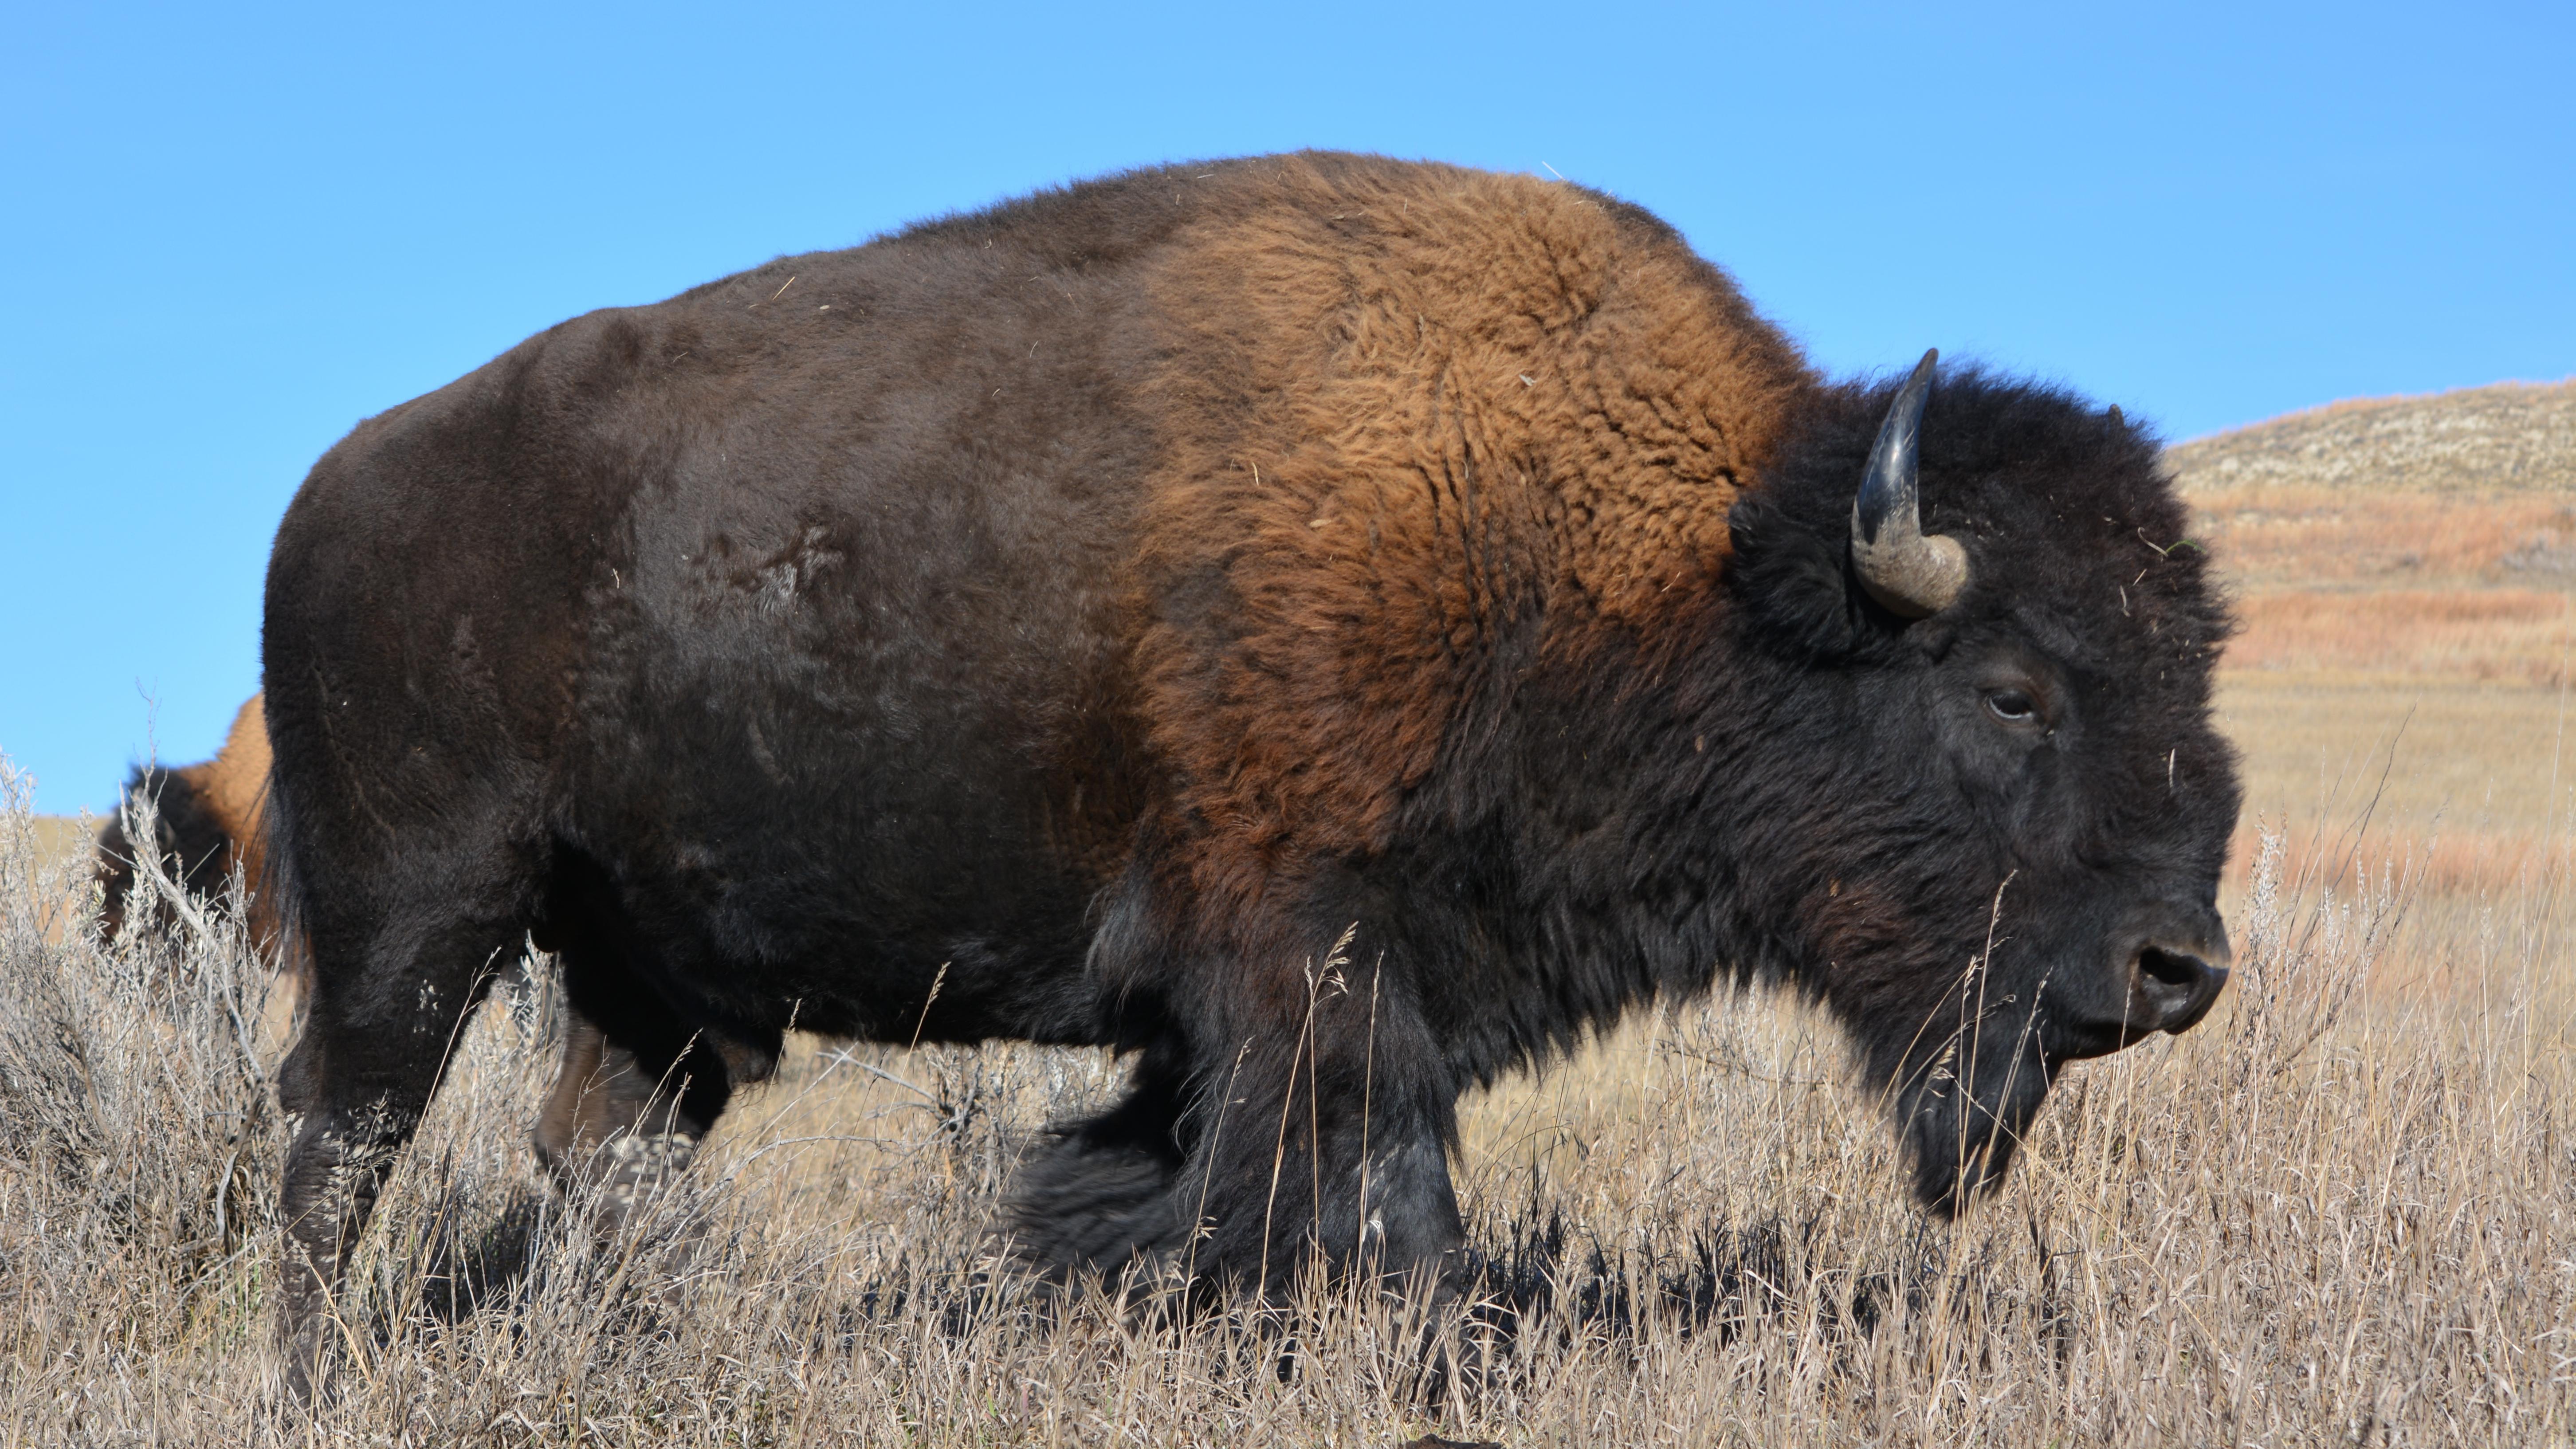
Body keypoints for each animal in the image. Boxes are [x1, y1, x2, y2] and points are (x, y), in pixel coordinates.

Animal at [260, 152, 2239, 1379]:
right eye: (2012, 692)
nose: (2178, 964)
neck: (1654, 564)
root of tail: (332, 487)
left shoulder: (1295, 998)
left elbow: (1193, 1185)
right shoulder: (1314, 960)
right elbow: (1370, 1199)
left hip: (651, 984)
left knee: (592, 1156)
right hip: (415, 912)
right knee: (339, 1143)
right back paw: (304, 1369)